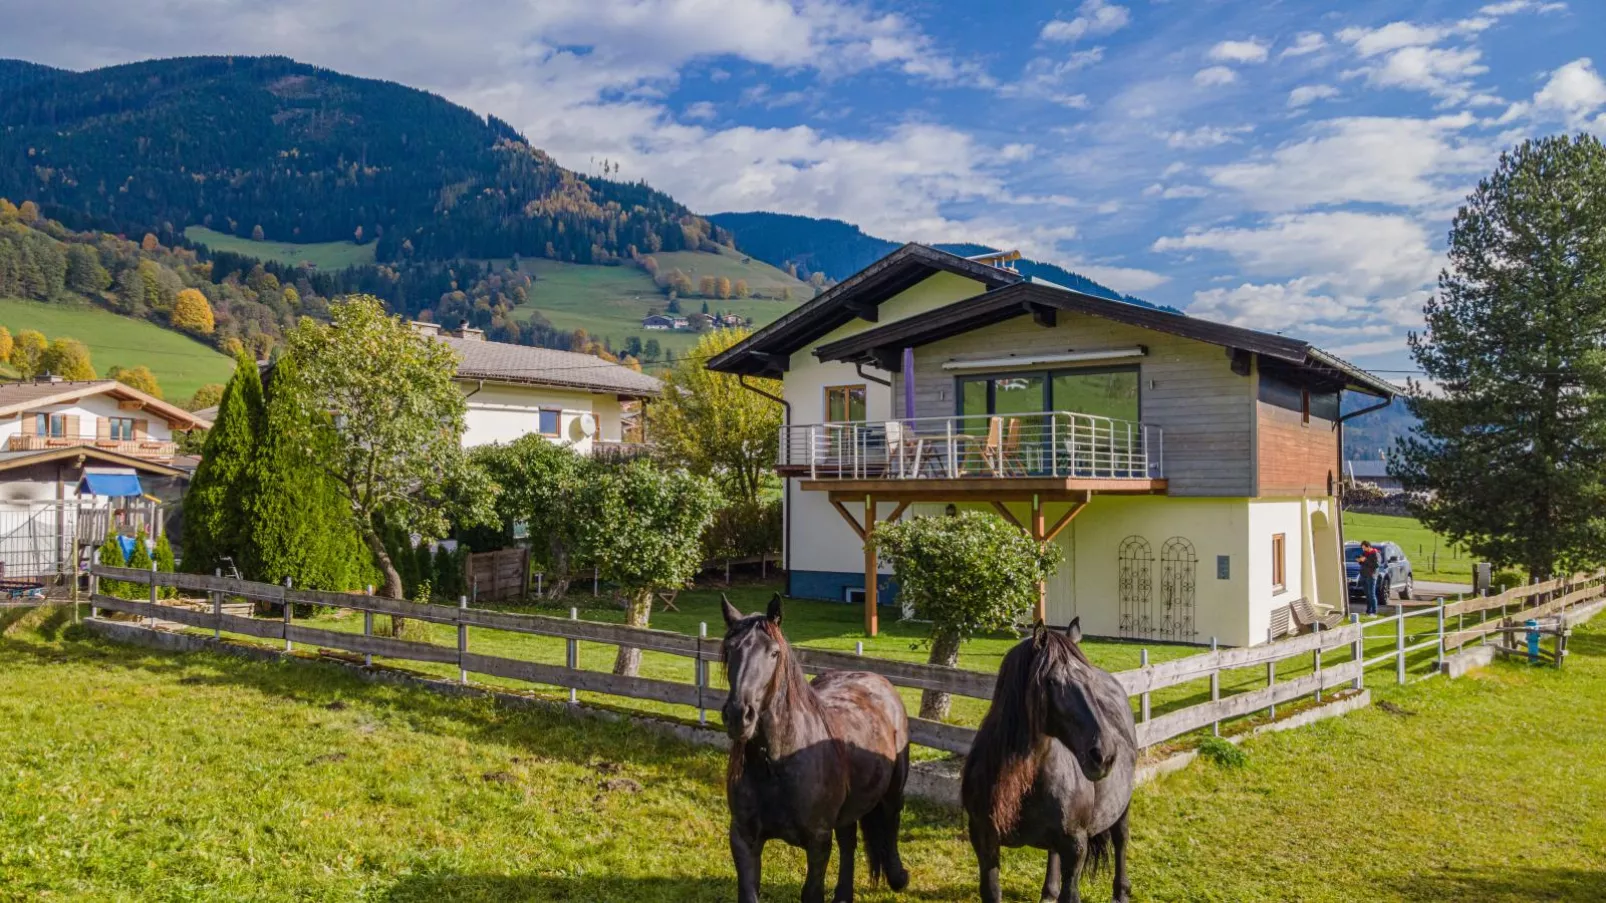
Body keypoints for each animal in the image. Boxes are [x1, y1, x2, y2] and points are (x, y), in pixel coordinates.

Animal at [722, 591, 912, 899]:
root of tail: (877, 680)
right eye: (729, 649)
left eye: (773, 653)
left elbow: (812, 892)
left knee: (890, 823)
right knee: (849, 842)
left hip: (893, 790)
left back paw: (898, 877)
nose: (740, 715)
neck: (776, 765)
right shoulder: (743, 839)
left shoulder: (818, 842)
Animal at [957, 616, 1137, 899]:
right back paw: (1049, 892)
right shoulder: (984, 839)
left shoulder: (1075, 846)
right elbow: (992, 890)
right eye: (1052, 681)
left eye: (1089, 680)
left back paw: (1121, 892)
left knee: (1121, 839)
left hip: (1122, 805)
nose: (1104, 755)